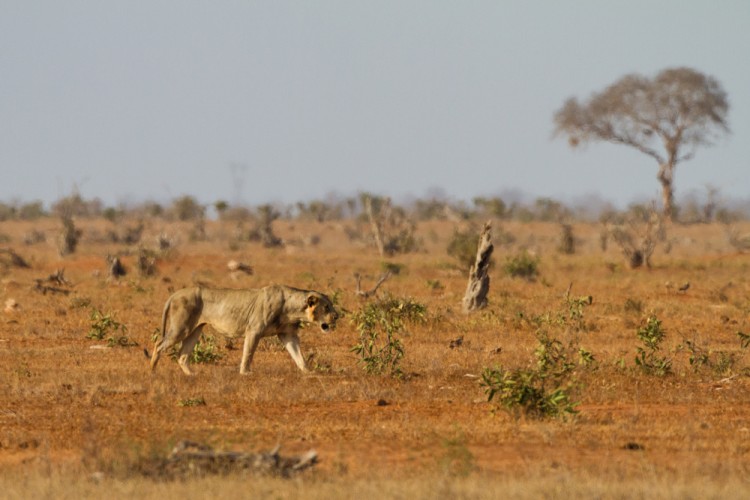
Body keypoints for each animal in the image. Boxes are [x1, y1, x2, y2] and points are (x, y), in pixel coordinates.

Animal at [150, 286, 338, 376]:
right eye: (326, 307)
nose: (337, 316)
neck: (292, 309)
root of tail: (174, 294)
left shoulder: (287, 334)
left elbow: (298, 355)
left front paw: (308, 372)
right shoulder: (254, 330)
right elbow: (248, 353)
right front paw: (245, 373)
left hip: (194, 330)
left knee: (182, 355)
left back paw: (192, 375)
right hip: (181, 327)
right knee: (158, 344)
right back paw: (152, 371)